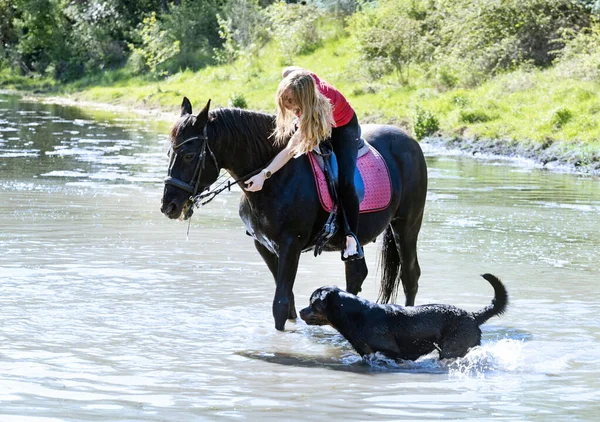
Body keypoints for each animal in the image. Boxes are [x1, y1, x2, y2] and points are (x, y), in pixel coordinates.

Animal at [162, 98, 428, 330]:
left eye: (189, 155)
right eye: (169, 153)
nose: (168, 206)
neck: (273, 176)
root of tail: (411, 141)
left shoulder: (291, 244)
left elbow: (280, 304)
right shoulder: (265, 245)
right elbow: (287, 302)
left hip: (406, 226)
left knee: (410, 277)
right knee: (356, 275)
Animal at [300, 276, 506, 362]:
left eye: (312, 303)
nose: (301, 311)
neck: (355, 316)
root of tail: (473, 316)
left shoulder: (391, 351)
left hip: (452, 348)